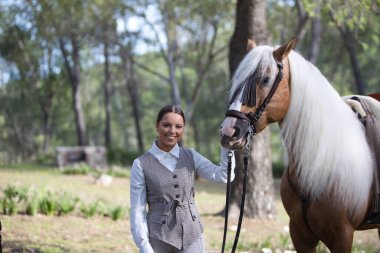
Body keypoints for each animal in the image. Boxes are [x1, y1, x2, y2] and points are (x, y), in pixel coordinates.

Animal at [220, 38, 380, 253]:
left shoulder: (342, 237)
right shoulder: (299, 234)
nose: (229, 132)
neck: (321, 162)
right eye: (238, 80)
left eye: (265, 79)